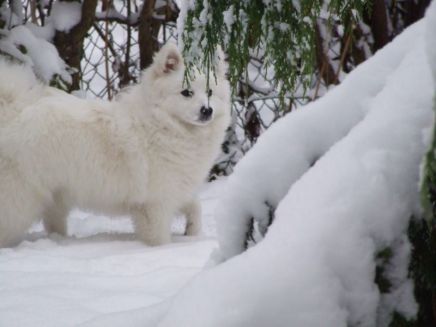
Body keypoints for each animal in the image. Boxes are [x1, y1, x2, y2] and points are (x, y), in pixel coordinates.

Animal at [0, 44, 232, 249]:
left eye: (210, 92)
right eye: (186, 93)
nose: (206, 110)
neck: (163, 124)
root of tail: (13, 111)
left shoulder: (177, 189)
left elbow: (195, 207)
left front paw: (192, 232)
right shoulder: (155, 203)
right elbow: (159, 239)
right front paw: (162, 251)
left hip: (55, 195)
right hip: (20, 200)